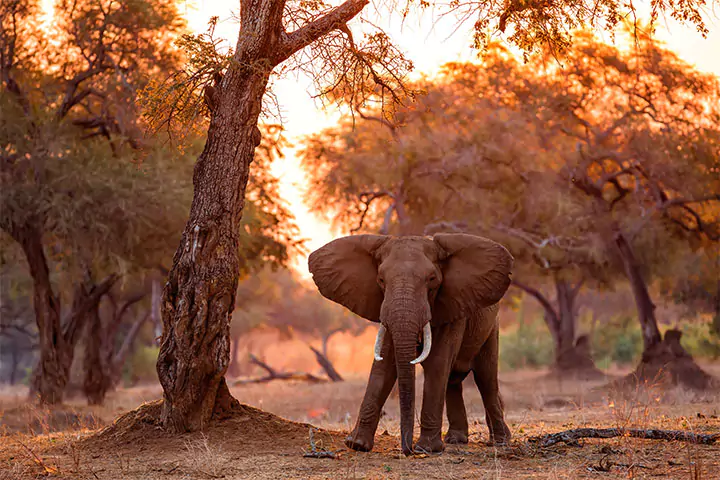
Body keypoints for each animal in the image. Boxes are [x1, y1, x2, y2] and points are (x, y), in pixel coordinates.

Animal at [306, 234, 516, 456]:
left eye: (432, 279)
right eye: (381, 280)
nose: (408, 450)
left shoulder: (453, 306)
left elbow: (437, 363)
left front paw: (427, 449)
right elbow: (384, 365)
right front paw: (357, 445)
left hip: (491, 328)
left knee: (486, 379)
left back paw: (500, 441)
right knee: (453, 382)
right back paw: (456, 440)